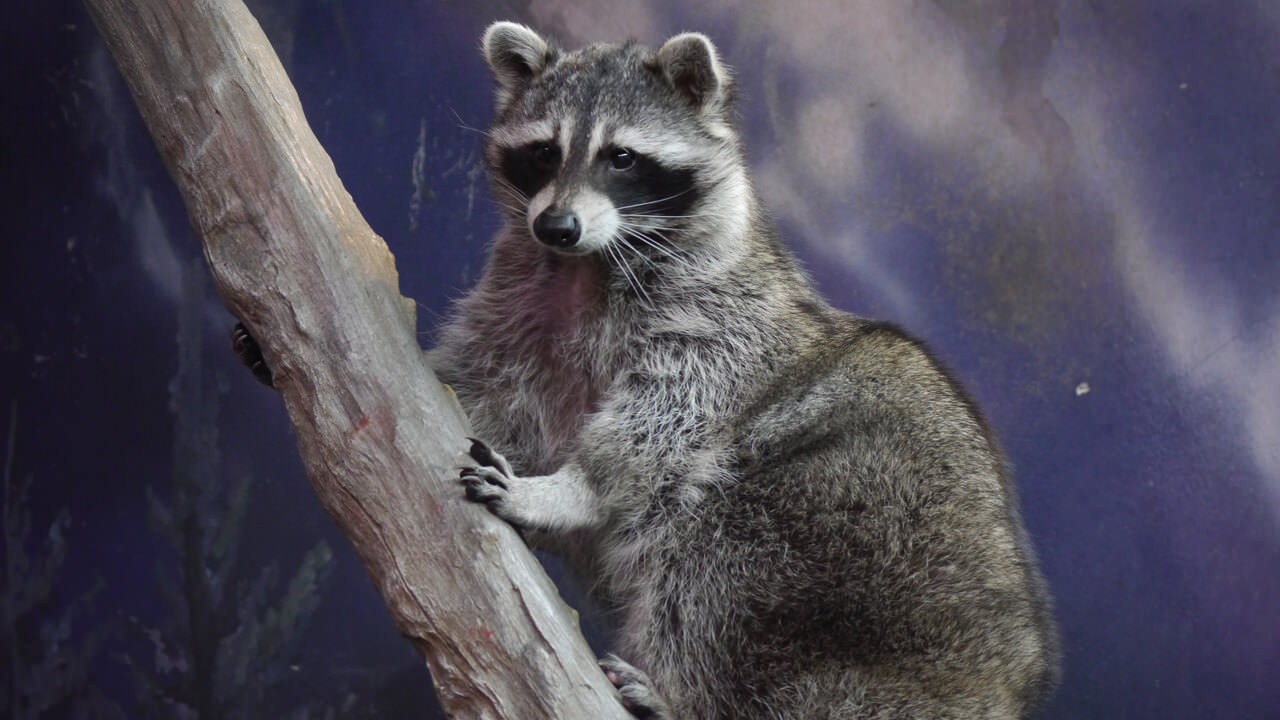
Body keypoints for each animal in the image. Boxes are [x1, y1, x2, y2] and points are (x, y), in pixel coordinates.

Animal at [437, 22, 1059, 717]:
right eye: (545, 152)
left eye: (621, 158)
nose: (556, 225)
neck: (586, 266)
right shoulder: (515, 306)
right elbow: (483, 379)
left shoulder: (724, 325)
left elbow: (661, 424)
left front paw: (573, 490)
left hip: (858, 536)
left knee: (715, 558)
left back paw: (681, 694)